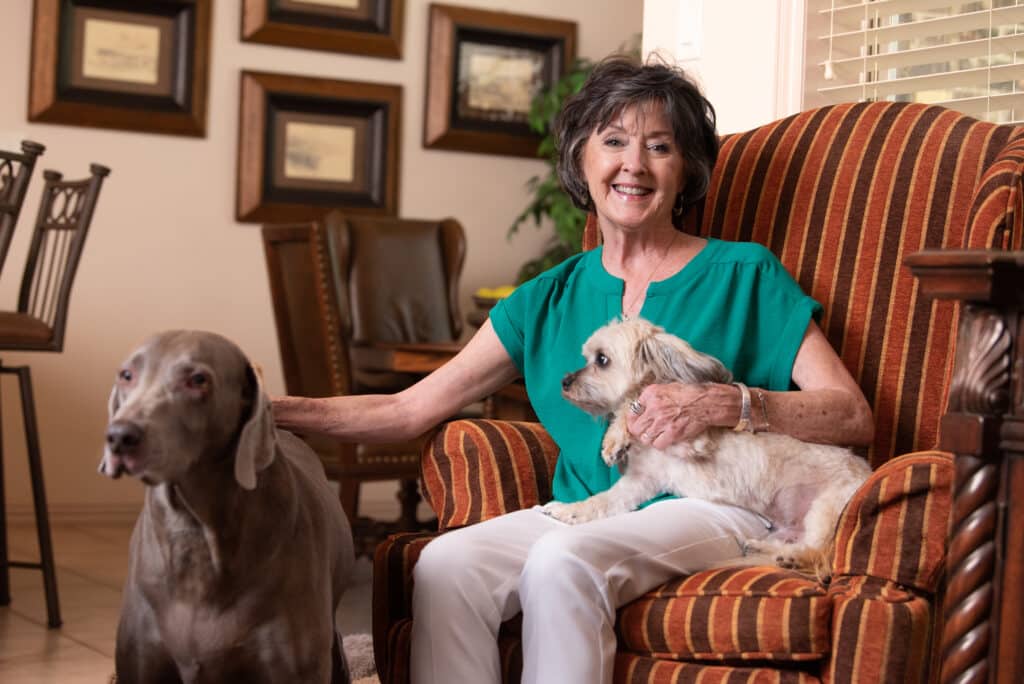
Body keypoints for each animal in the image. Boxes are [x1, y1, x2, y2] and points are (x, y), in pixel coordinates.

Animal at [544, 317, 872, 573]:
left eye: (602, 359)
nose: (564, 381)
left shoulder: (692, 439)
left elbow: (632, 406)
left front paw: (616, 438)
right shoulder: (640, 482)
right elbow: (601, 502)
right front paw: (568, 510)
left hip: (826, 510)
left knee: (818, 551)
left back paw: (795, 558)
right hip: (788, 529)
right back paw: (763, 550)